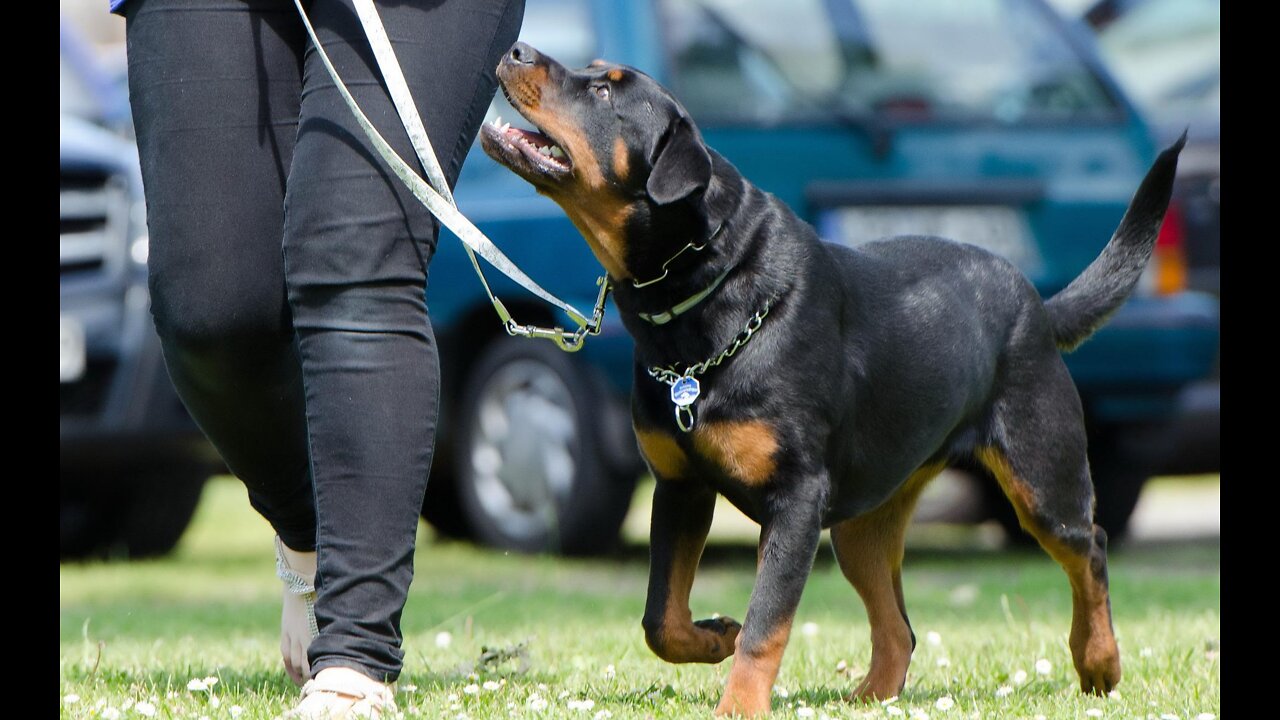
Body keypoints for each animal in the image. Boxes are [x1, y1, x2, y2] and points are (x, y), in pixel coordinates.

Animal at [481, 41, 1187, 712]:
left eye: (604, 90)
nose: (516, 49)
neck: (703, 294)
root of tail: (1038, 305)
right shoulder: (680, 486)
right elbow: (662, 619)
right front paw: (715, 636)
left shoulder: (796, 501)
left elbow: (767, 625)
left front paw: (739, 705)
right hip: (862, 523)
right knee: (898, 626)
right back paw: (871, 696)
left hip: (1041, 472)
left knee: (1089, 547)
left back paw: (1099, 662)